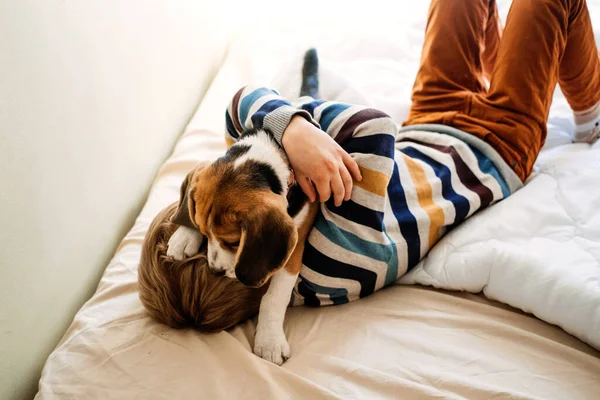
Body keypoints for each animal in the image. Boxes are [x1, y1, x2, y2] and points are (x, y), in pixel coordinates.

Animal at [166, 129, 322, 366]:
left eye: (233, 243)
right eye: (204, 233)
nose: (215, 271)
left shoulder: (294, 247)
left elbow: (274, 297)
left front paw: (270, 342)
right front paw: (184, 234)